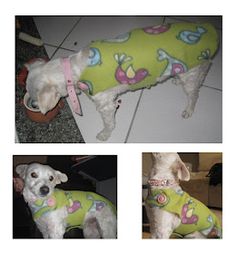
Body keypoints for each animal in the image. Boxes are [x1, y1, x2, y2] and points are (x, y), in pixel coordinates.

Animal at [24, 21, 218, 141]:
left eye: (34, 96)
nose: (32, 104)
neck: (73, 69)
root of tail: (208, 30)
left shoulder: (106, 104)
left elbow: (109, 122)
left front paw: (105, 134)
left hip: (191, 71)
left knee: (194, 93)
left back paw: (189, 109)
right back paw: (176, 78)